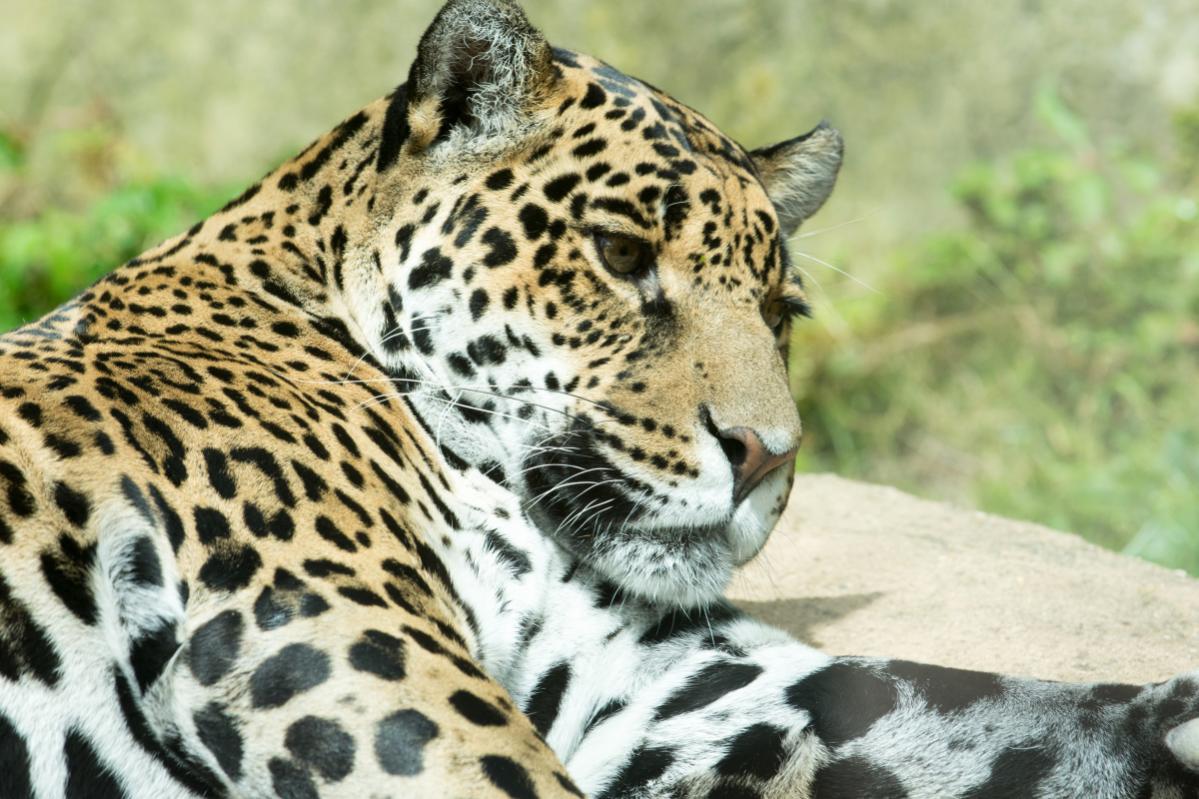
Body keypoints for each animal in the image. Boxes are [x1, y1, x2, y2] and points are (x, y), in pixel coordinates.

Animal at [2, 1, 1199, 797]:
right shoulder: (319, 634)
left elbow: (957, 701)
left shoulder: (656, 679)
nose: (766, 454)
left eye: (780, 313)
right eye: (621, 255)